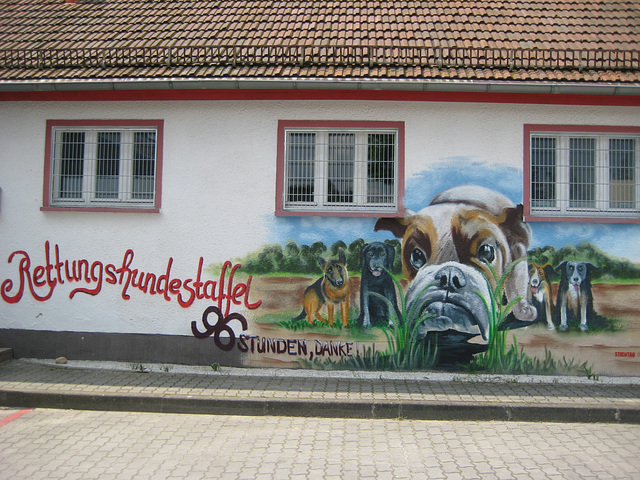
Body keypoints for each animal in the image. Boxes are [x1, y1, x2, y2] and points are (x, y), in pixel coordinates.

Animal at [376, 186, 536, 362]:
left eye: (487, 251)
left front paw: (522, 308)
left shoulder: (519, 249)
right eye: (416, 255)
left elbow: (518, 281)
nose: (449, 275)